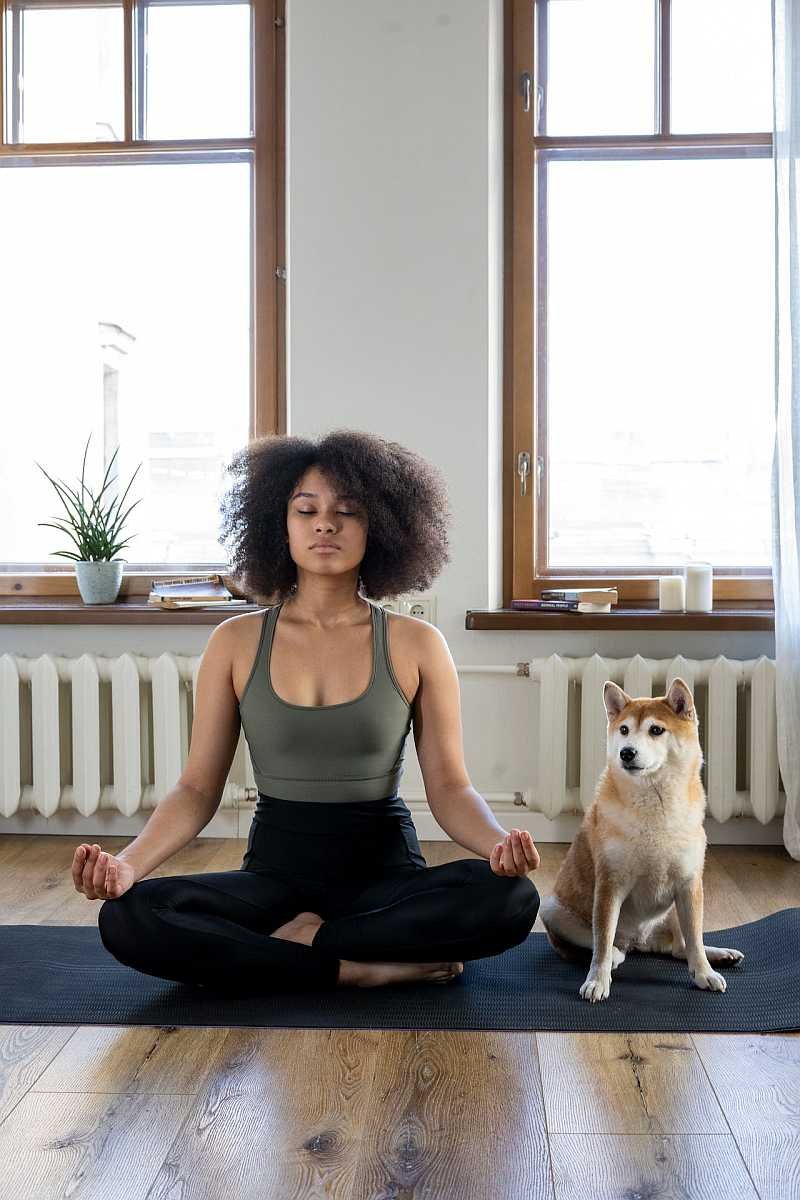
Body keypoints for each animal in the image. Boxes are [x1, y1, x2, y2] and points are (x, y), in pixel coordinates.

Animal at [537, 676, 743, 1003]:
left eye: (656, 730)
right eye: (623, 730)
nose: (626, 752)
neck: (654, 807)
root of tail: (641, 942)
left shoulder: (689, 884)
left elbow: (695, 940)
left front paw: (704, 973)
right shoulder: (610, 885)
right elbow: (602, 942)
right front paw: (597, 981)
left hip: (675, 910)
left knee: (681, 947)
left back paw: (719, 955)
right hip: (552, 908)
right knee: (605, 946)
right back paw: (615, 956)